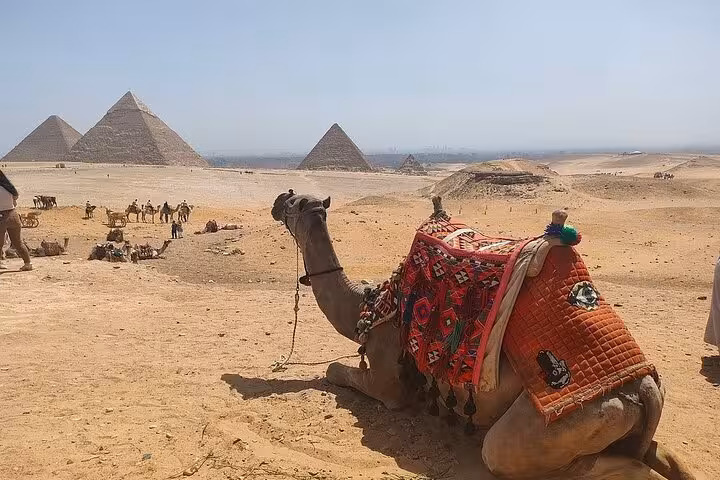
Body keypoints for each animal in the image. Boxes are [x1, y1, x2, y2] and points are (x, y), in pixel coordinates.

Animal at [270, 191, 701, 480]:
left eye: (296, 203)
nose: (279, 199)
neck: (370, 303)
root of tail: (643, 387)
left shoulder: (389, 378)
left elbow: (334, 370)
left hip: (561, 424)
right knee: (662, 456)